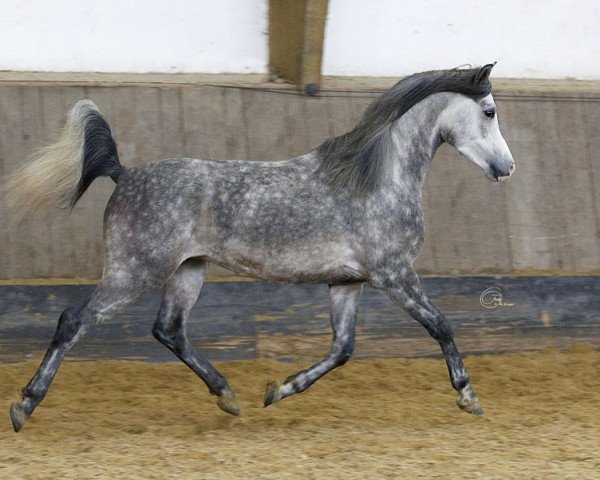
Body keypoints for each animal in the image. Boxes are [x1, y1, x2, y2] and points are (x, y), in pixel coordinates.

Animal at [4, 62, 512, 432]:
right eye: (489, 111)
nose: (507, 168)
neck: (377, 178)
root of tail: (124, 174)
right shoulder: (394, 275)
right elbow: (441, 326)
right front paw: (468, 397)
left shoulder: (348, 283)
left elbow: (342, 349)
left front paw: (279, 390)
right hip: (135, 271)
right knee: (74, 321)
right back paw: (24, 406)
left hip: (188, 270)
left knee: (169, 330)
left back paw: (228, 397)